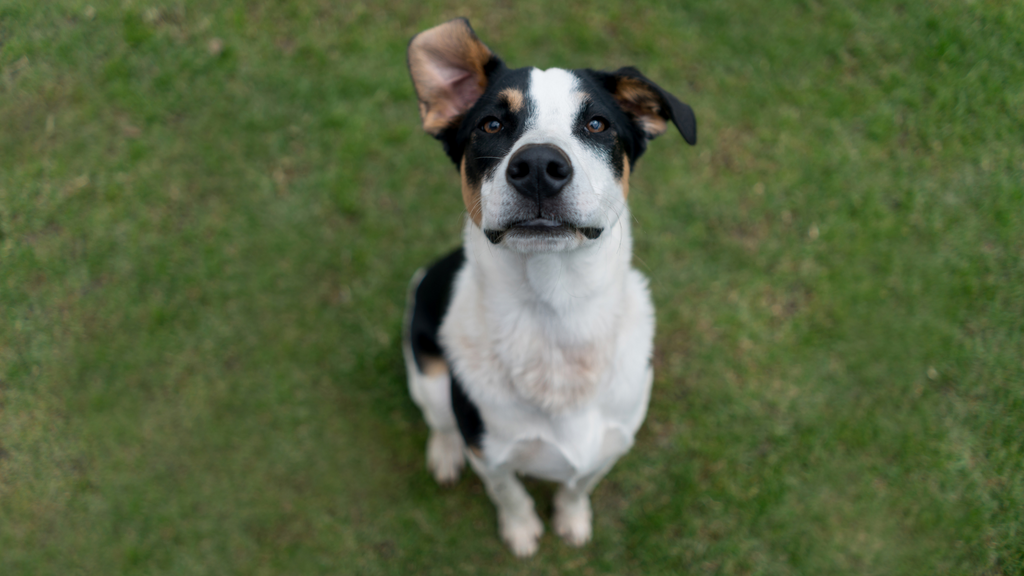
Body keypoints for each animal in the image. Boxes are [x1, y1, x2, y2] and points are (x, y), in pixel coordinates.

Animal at [399, 19, 696, 557]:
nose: (538, 165)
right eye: (491, 125)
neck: (554, 317)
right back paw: (444, 455)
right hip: (426, 374)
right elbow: (509, 494)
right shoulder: (489, 453)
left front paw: (572, 520)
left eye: (597, 124)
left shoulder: (610, 445)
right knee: (439, 419)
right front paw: (521, 532)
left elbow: (578, 486)